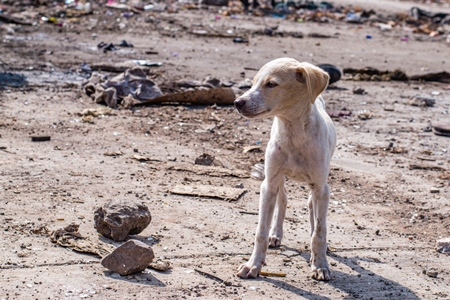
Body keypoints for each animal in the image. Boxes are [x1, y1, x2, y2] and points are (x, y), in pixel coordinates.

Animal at [234, 57, 336, 280]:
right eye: (252, 83)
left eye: (271, 84)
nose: (237, 102)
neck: (293, 131)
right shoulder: (268, 184)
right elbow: (261, 231)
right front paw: (253, 264)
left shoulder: (321, 188)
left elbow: (320, 232)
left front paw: (320, 265)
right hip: (277, 176)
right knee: (283, 199)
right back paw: (276, 234)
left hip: (316, 186)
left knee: (312, 207)